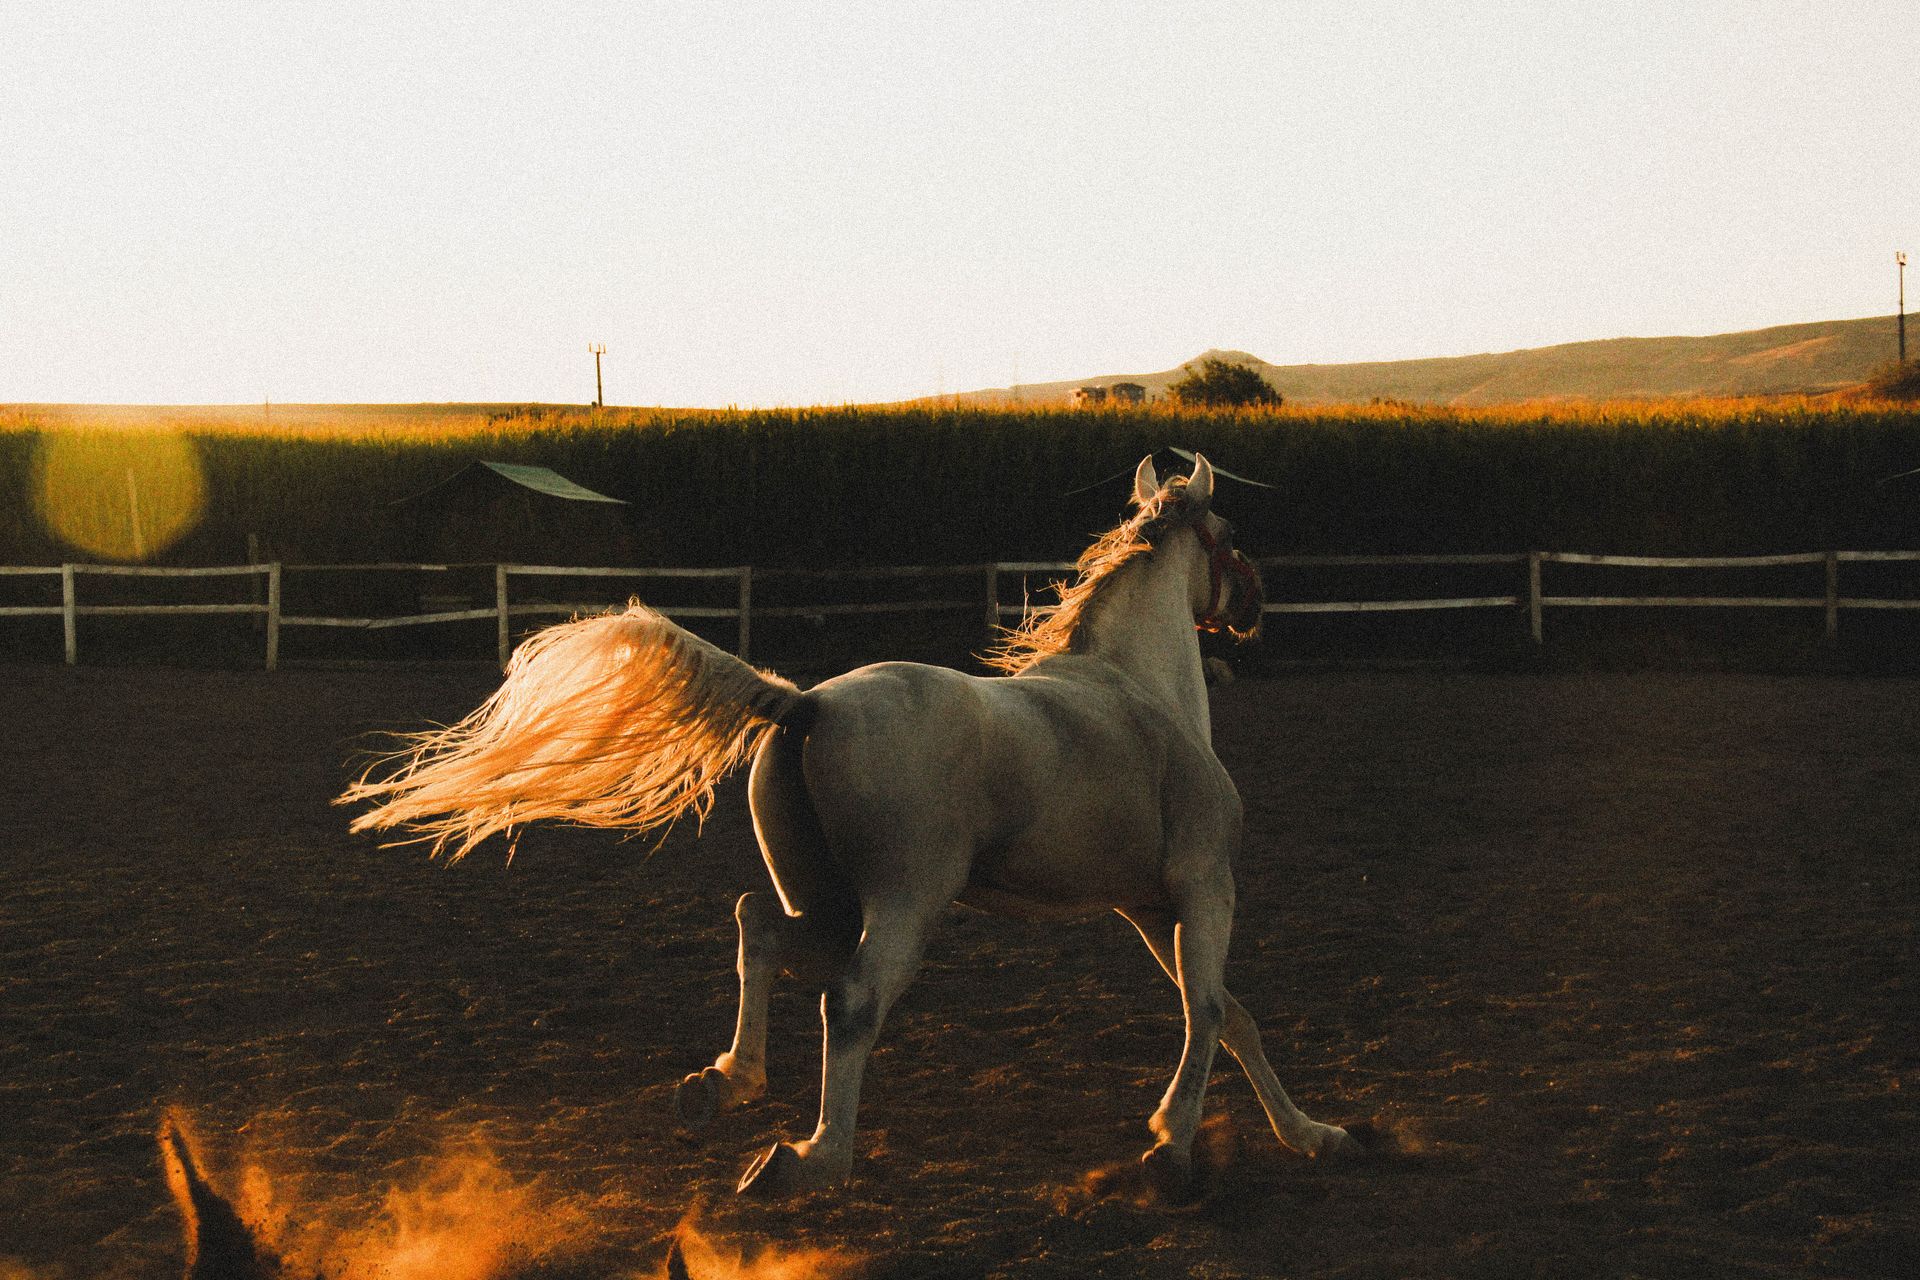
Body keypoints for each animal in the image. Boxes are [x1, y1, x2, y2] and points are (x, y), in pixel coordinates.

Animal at [341, 453, 1356, 1197]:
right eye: (1231, 535)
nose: (1256, 607)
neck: (1142, 693)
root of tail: (808, 706)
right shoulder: (1202, 886)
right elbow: (1212, 1009)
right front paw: (1170, 1147)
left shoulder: (1147, 907)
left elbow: (1233, 1016)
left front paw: (1311, 1134)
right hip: (907, 903)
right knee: (854, 998)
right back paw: (809, 1158)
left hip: (826, 898)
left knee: (760, 931)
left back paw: (724, 1084)